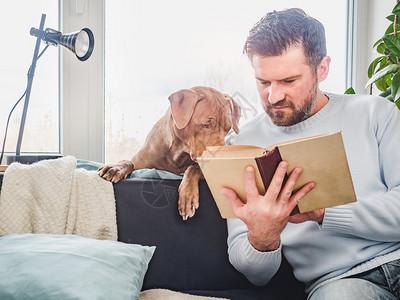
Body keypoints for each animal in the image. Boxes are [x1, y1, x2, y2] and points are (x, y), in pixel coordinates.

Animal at [98, 86, 241, 220]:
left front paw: (187, 195)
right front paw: (115, 168)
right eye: (205, 125)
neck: (179, 152)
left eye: (228, 128)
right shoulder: (140, 161)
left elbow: (193, 168)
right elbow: (127, 162)